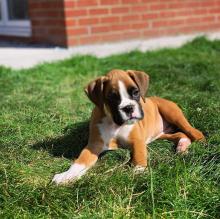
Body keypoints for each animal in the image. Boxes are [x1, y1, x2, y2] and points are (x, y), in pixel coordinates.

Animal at [52, 69, 205, 184]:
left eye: (135, 92)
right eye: (112, 97)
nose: (128, 108)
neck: (115, 123)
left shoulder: (137, 141)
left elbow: (139, 156)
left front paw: (138, 172)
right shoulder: (94, 146)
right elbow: (80, 161)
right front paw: (66, 175)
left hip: (172, 113)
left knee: (191, 131)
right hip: (161, 134)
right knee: (180, 134)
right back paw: (182, 145)